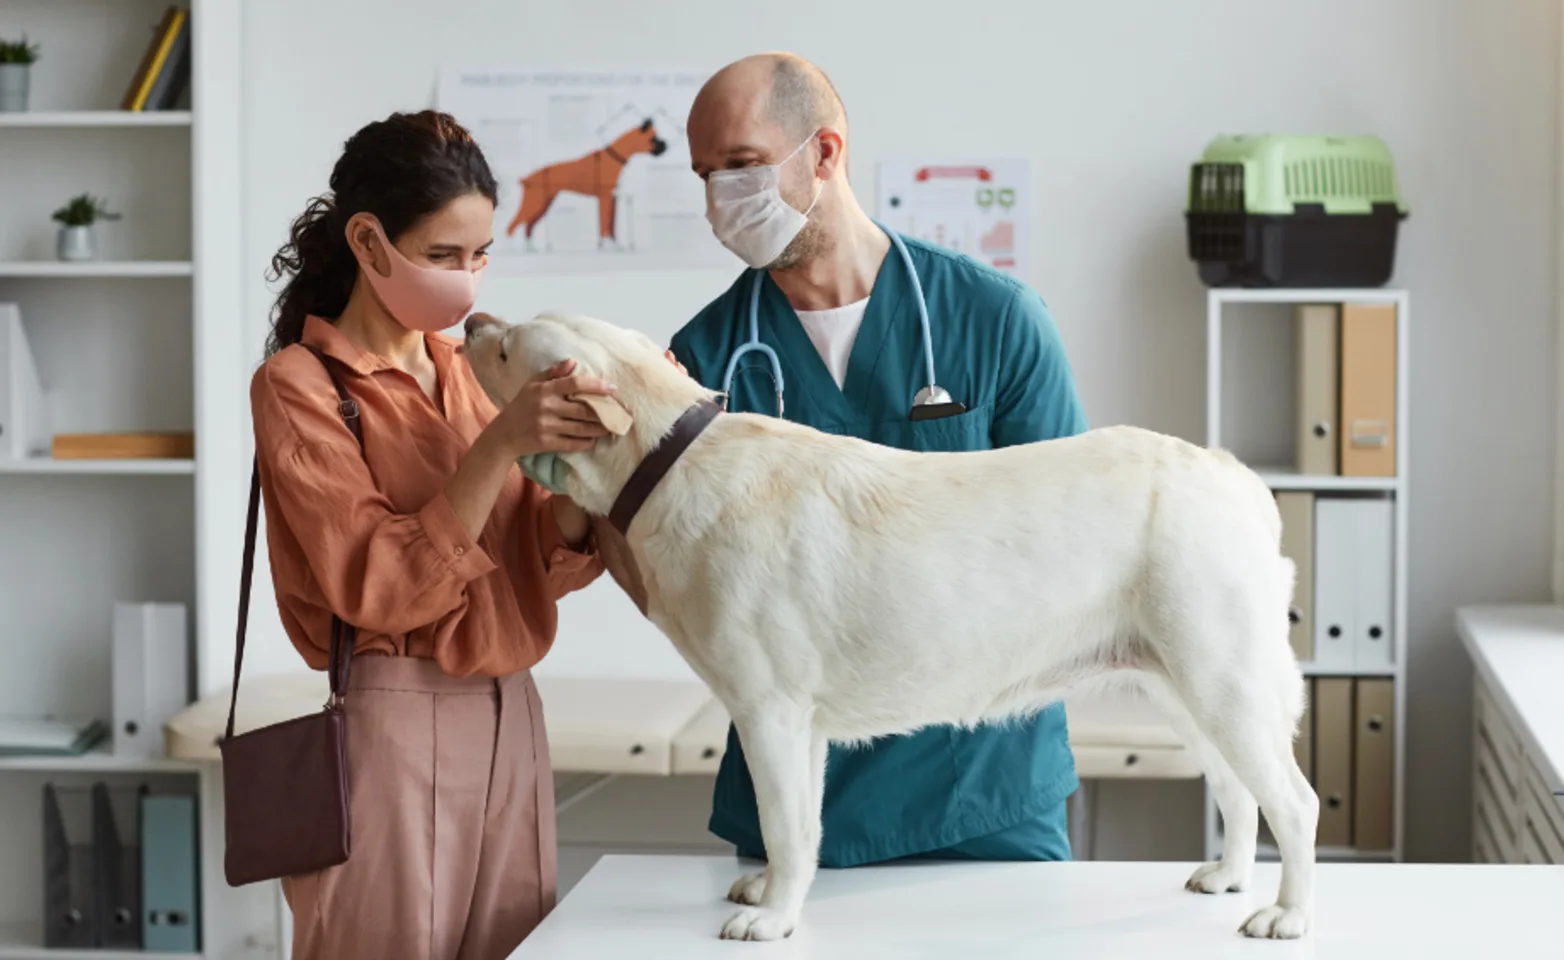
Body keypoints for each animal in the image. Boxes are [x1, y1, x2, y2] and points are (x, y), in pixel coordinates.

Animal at [462, 312, 1320, 944]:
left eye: (505, 349)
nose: (471, 319)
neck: (667, 461)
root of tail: (1233, 476)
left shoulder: (769, 712)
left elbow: (782, 823)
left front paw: (772, 919)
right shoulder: (800, 725)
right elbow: (803, 825)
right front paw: (775, 892)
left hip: (1223, 679)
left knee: (1294, 801)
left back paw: (1288, 913)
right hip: (1182, 686)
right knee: (1240, 792)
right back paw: (1227, 876)